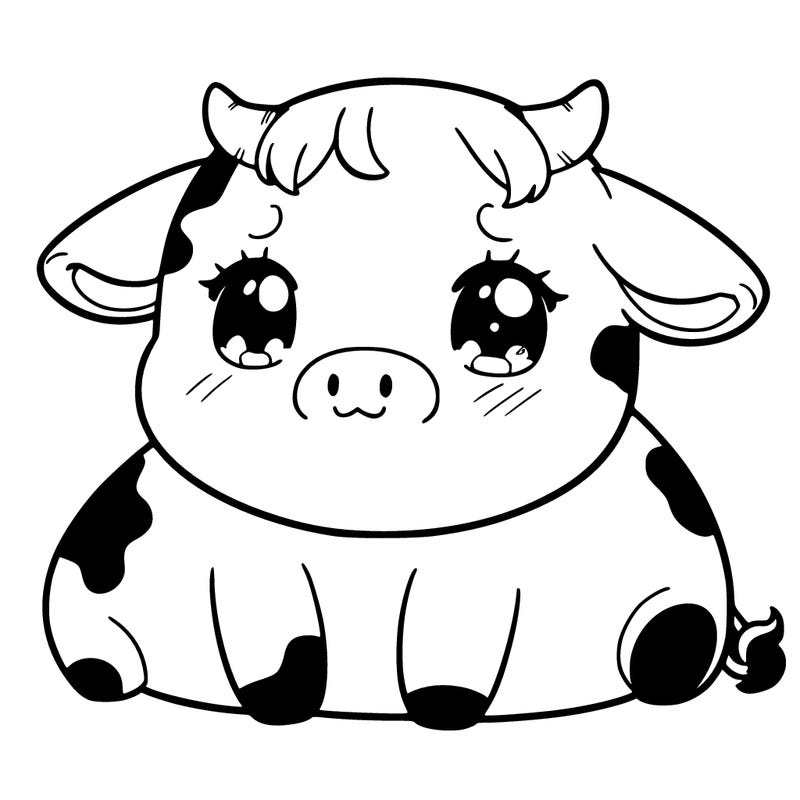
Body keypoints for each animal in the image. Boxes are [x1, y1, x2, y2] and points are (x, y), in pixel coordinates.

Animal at [39, 78, 785, 729]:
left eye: (505, 312)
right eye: (249, 306)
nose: (361, 373)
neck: (373, 540)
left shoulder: (475, 573)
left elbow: (447, 642)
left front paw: (443, 711)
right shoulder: (247, 564)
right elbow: (279, 636)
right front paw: (281, 707)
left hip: (678, 607)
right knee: (96, 662)